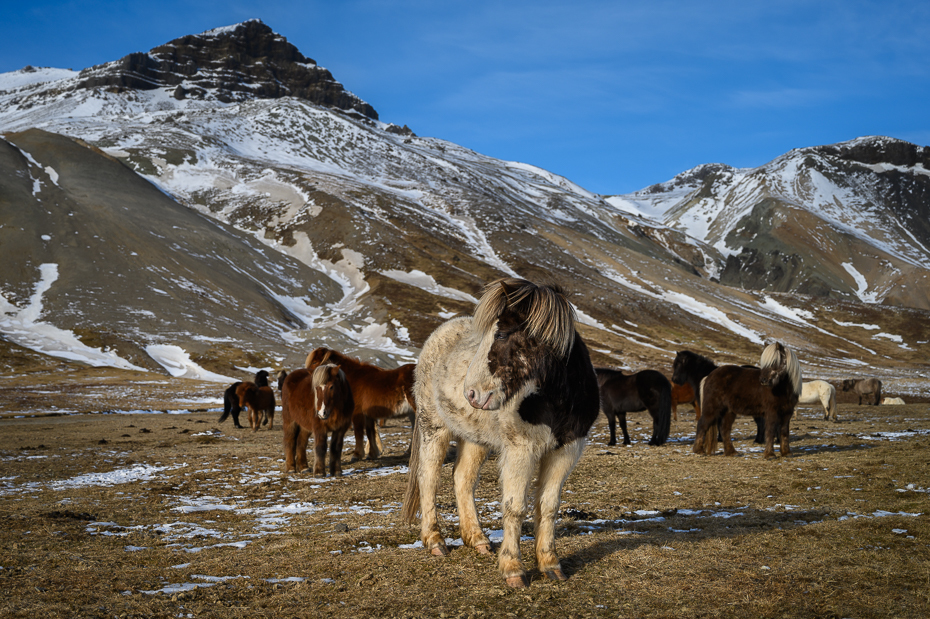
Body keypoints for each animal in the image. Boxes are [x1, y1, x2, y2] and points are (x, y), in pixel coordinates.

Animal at [402, 278, 600, 588]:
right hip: (434, 427)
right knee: (428, 477)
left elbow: (549, 506)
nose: (471, 393)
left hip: (475, 439)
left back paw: (478, 539)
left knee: (463, 478)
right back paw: (434, 540)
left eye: (503, 334)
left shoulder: (567, 450)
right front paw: (512, 568)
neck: (555, 398)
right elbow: (515, 507)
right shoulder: (521, 449)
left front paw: (550, 564)